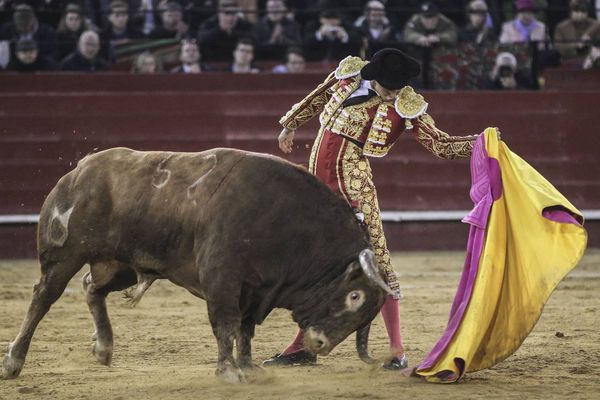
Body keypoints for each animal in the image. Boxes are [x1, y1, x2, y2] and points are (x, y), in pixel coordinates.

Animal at [2, 147, 392, 382]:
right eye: (355, 296)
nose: (320, 344)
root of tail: (79, 170)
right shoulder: (223, 278)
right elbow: (226, 324)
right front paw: (229, 373)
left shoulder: (256, 289)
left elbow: (245, 330)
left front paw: (249, 368)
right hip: (64, 256)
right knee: (43, 298)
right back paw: (14, 362)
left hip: (120, 264)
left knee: (91, 288)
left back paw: (104, 348)